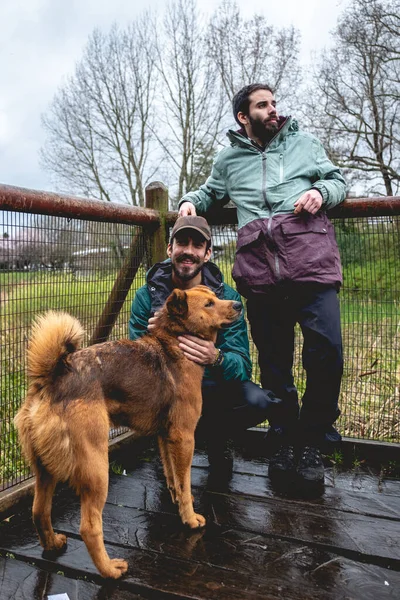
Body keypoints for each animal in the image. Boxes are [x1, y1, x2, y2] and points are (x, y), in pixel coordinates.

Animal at [14, 284, 241, 576]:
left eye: (217, 296)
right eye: (209, 304)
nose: (238, 305)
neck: (175, 341)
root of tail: (53, 376)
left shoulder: (166, 437)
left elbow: (173, 478)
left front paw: (178, 501)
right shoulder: (184, 437)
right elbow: (185, 482)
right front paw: (189, 519)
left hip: (44, 470)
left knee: (39, 511)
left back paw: (53, 544)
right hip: (97, 469)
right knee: (89, 527)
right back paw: (110, 569)